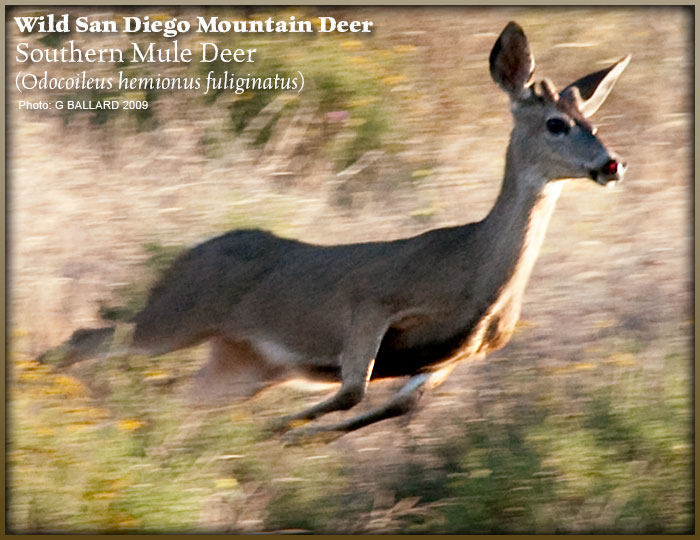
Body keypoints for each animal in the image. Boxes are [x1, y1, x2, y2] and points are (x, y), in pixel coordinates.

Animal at [39, 22, 629, 442]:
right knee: (85, 338)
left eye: (596, 123)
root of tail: (188, 254)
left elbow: (397, 403)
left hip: (240, 361)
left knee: (177, 391)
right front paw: (279, 432)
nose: (612, 164)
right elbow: (352, 390)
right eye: (556, 124)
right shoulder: (374, 300)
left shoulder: (460, 355)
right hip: (175, 317)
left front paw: (290, 436)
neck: (473, 272)